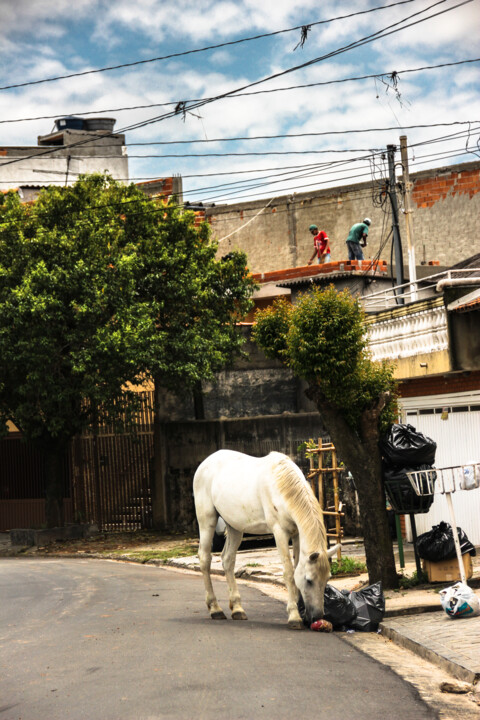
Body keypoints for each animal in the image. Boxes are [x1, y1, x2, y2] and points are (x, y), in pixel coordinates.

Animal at [192, 448, 338, 628]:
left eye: (327, 580)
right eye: (309, 580)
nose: (317, 616)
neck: (281, 486)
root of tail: (205, 463)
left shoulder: (296, 534)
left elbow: (297, 564)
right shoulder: (280, 532)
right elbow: (289, 572)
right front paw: (294, 616)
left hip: (235, 527)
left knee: (228, 560)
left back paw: (237, 609)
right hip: (207, 521)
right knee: (205, 559)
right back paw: (215, 609)